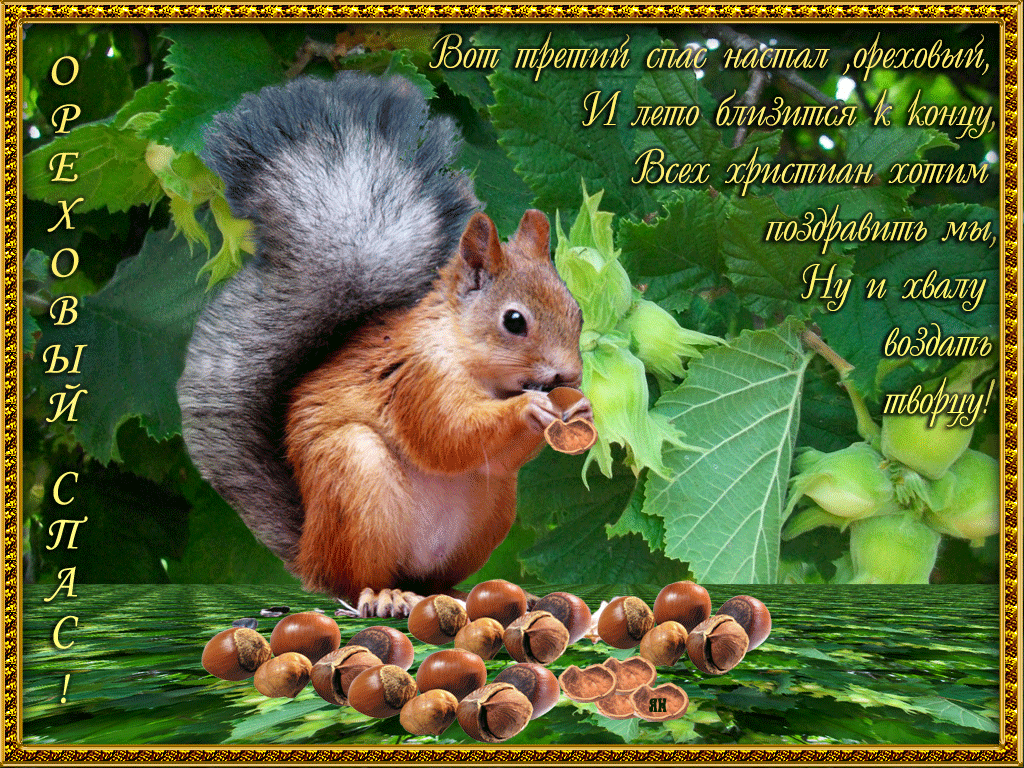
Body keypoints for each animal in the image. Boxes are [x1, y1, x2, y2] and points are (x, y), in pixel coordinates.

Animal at [177, 72, 590, 617]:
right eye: (514, 321)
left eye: (577, 311)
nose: (570, 377)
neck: (467, 355)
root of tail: (310, 553)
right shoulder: (418, 379)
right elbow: (448, 435)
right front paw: (530, 409)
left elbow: (491, 454)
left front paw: (579, 407)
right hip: (355, 478)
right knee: (356, 581)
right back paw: (382, 594)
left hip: (493, 506)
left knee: (433, 577)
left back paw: (460, 592)